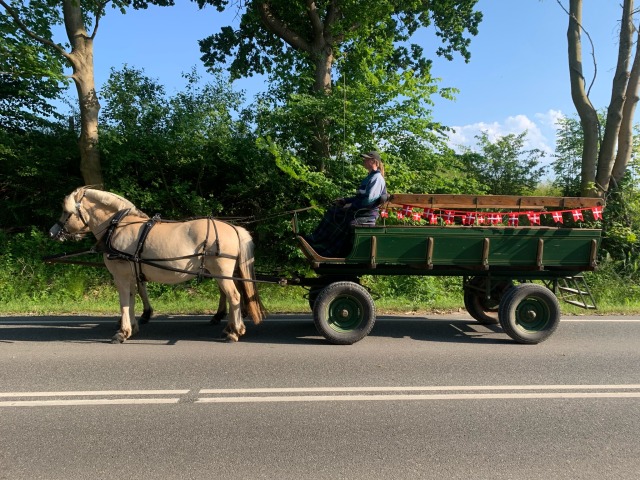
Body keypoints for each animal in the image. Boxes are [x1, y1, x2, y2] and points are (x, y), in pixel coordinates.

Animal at [48, 187, 266, 342]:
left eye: (66, 211)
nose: (52, 232)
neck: (116, 227)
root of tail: (234, 228)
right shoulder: (131, 275)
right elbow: (132, 299)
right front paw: (133, 327)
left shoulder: (121, 276)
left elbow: (123, 302)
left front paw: (122, 332)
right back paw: (229, 327)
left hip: (221, 272)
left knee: (234, 296)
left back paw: (234, 332)